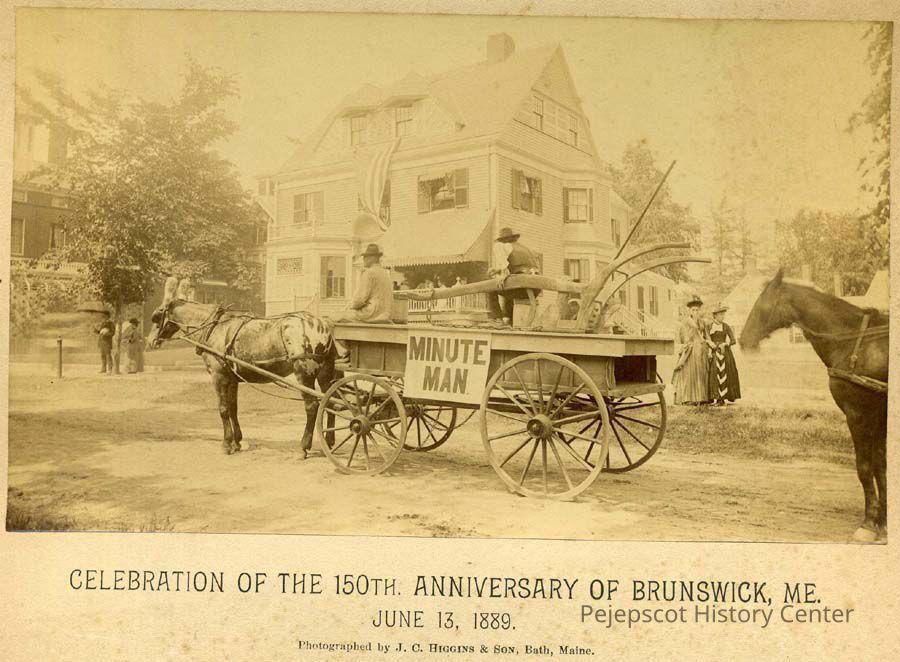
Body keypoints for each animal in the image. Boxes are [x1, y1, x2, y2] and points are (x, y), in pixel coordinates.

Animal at [147, 277, 337, 456]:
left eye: (156, 316)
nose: (149, 342)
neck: (214, 328)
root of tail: (323, 325)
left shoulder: (218, 376)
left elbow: (223, 409)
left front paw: (226, 444)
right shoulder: (232, 378)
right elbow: (233, 408)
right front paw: (236, 441)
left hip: (304, 372)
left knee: (312, 407)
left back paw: (304, 447)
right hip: (325, 373)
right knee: (330, 401)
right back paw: (329, 440)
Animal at [739, 268, 889, 541]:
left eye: (761, 303)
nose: (743, 339)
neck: (855, 343)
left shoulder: (858, 414)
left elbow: (864, 468)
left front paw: (868, 523)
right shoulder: (879, 415)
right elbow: (879, 466)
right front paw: (882, 521)